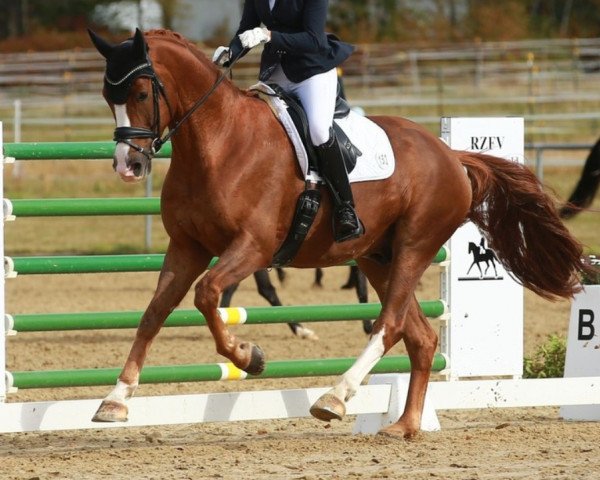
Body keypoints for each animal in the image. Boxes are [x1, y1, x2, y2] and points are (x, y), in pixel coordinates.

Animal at [90, 28, 592, 436]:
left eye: (140, 92)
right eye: (107, 96)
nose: (128, 165)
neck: (218, 143)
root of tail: (451, 154)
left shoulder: (253, 247)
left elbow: (208, 294)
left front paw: (249, 355)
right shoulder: (186, 247)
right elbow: (154, 313)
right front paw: (115, 400)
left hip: (415, 245)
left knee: (389, 325)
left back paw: (335, 397)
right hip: (377, 256)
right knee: (421, 337)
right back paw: (405, 425)